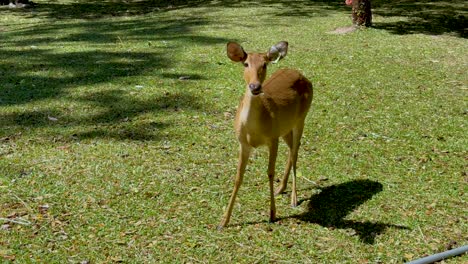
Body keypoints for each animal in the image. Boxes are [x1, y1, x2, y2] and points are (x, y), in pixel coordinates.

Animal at [219, 40, 314, 228]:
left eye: (265, 64)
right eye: (245, 63)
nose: (255, 87)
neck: (253, 130)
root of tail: (301, 75)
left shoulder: (272, 138)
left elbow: (270, 172)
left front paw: (272, 214)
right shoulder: (243, 142)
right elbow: (238, 176)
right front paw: (224, 221)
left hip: (301, 118)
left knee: (295, 151)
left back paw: (294, 198)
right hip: (285, 128)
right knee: (292, 149)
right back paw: (281, 188)